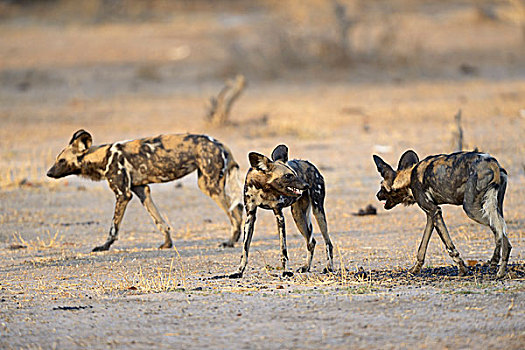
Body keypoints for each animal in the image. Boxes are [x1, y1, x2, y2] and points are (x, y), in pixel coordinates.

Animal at [46, 129, 243, 252]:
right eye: (56, 159)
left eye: (61, 160)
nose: (48, 173)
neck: (103, 157)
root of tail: (220, 143)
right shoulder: (142, 191)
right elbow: (160, 222)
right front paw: (167, 243)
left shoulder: (123, 195)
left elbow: (113, 228)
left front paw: (104, 247)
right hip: (209, 184)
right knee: (239, 209)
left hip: (209, 186)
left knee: (235, 215)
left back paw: (230, 241)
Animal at [228, 144, 332, 278]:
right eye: (288, 176)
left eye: (295, 174)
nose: (306, 185)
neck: (264, 188)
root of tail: (310, 164)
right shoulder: (250, 217)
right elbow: (245, 250)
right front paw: (239, 271)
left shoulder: (279, 215)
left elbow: (283, 250)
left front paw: (286, 271)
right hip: (298, 216)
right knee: (311, 242)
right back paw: (306, 267)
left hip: (318, 211)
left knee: (328, 242)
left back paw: (329, 267)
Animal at [372, 150, 512, 278]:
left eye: (382, 187)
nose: (377, 195)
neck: (409, 177)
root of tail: (491, 162)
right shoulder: (431, 215)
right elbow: (422, 247)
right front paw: (415, 270)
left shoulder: (435, 211)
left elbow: (449, 245)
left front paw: (462, 270)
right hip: (495, 207)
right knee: (505, 238)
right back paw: (500, 272)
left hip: (472, 209)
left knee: (498, 230)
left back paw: (495, 264)